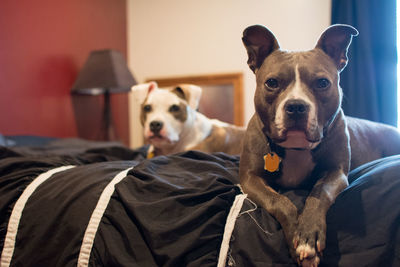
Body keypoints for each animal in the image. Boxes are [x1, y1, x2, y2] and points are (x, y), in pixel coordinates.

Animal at [239, 24, 400, 266]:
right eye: (272, 83)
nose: (296, 106)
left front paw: (308, 236)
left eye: (322, 83)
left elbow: (319, 192)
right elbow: (280, 201)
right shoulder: (250, 179)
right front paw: (295, 234)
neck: (296, 147)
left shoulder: (336, 173)